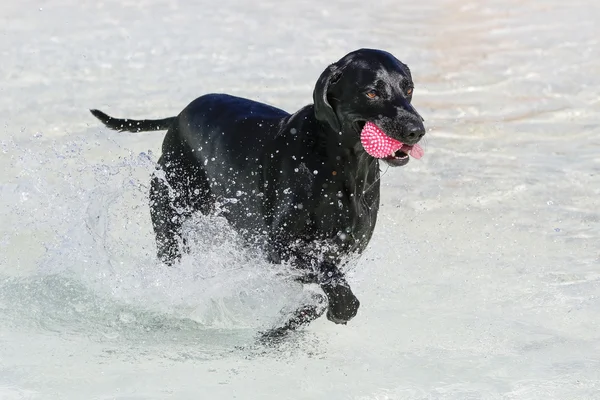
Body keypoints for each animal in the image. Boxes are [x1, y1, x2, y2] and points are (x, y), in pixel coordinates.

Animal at [91, 48, 424, 336]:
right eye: (372, 92)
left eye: (407, 88)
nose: (416, 129)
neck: (341, 166)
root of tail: (178, 117)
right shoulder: (280, 249)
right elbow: (330, 280)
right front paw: (331, 310)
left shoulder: (344, 251)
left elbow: (323, 289)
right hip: (169, 213)